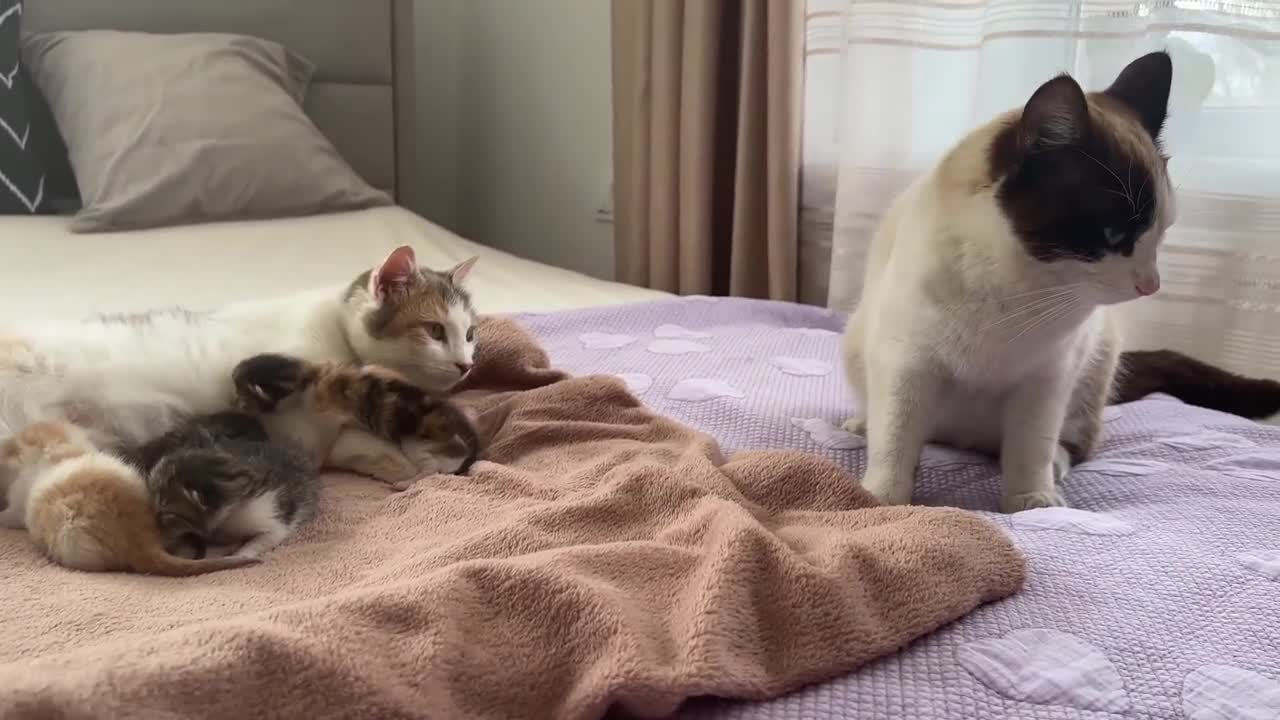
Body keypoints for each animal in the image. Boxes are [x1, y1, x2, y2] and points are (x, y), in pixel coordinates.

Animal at [0, 245, 481, 486]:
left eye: (471, 334)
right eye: (435, 331)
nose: (466, 365)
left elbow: (354, 442)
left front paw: (415, 462)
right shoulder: (285, 406)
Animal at [839, 51, 1280, 509]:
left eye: (1160, 233)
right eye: (1113, 235)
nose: (1151, 284)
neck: (1018, 288)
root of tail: (964, 438)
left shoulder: (1047, 378)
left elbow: (1030, 445)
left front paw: (1033, 503)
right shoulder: (907, 363)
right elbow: (896, 438)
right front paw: (881, 498)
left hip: (1095, 365)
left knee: (1067, 443)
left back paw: (1054, 466)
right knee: (893, 420)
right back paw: (862, 424)